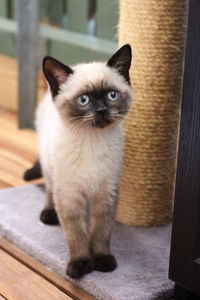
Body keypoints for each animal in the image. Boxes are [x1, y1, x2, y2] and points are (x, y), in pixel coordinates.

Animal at [31, 45, 132, 278]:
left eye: (112, 95)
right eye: (84, 100)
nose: (102, 110)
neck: (92, 142)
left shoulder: (106, 194)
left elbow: (101, 232)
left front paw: (102, 260)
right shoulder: (69, 197)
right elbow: (76, 235)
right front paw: (80, 265)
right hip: (49, 167)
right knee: (49, 188)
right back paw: (48, 214)